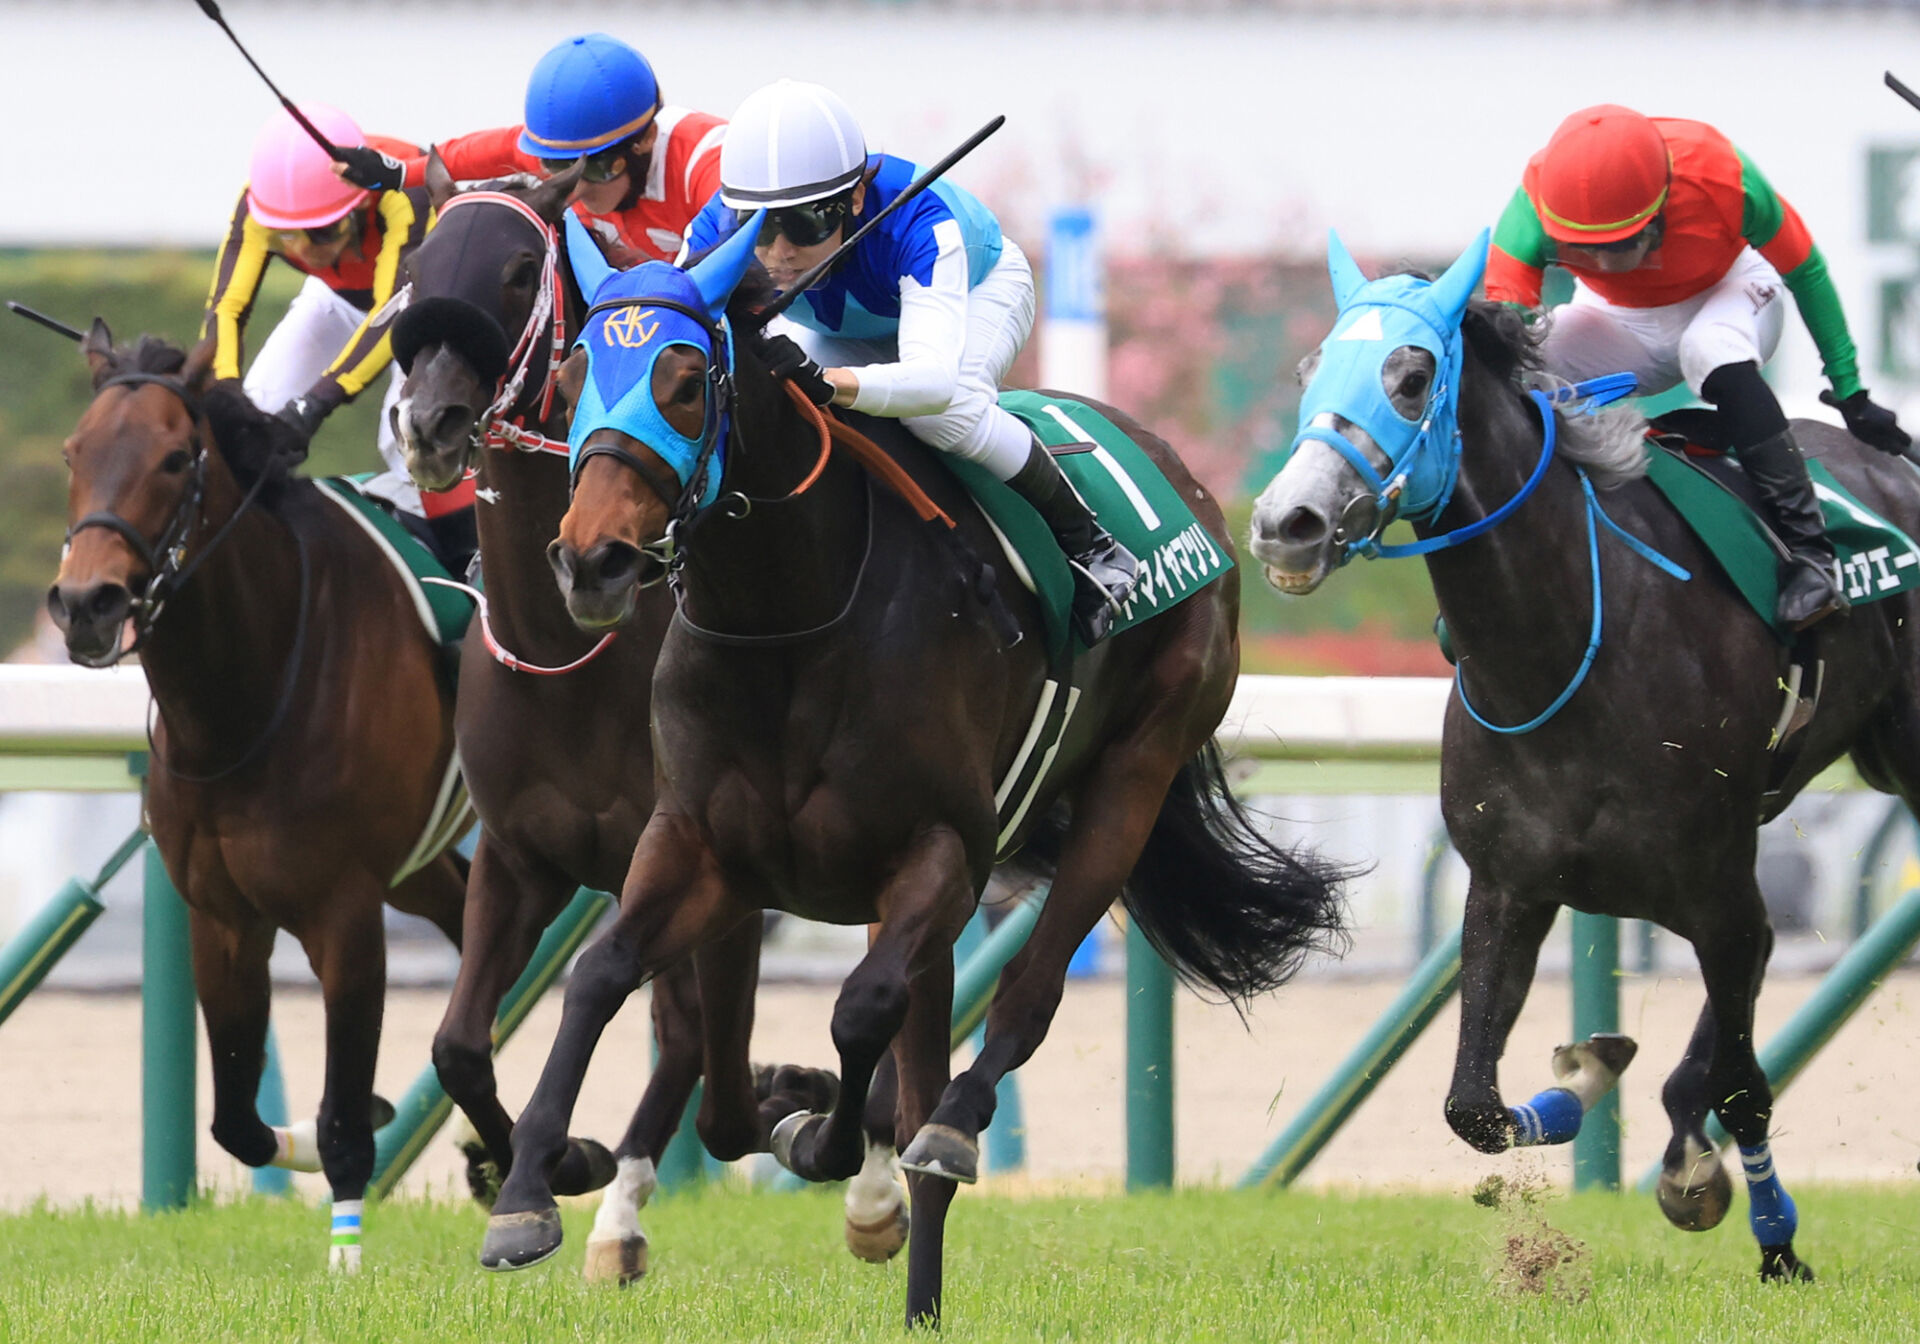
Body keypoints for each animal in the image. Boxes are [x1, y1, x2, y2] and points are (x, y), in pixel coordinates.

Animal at [47, 326, 470, 1270]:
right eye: (73, 452)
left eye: (174, 458)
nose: (88, 603)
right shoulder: (222, 915)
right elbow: (236, 1121)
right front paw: (331, 1132)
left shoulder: (346, 913)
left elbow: (344, 1115)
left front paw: (347, 1261)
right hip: (424, 867)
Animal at [386, 158, 843, 1281]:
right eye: (415, 270)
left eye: (516, 271)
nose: (430, 424)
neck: (569, 660)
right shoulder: (521, 859)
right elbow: (458, 1043)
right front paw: (553, 1166)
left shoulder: (700, 858)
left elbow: (707, 1060)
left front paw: (786, 1094)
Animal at [478, 215, 1350, 1327]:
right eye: (577, 373)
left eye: (683, 381)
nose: (593, 561)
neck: (787, 619)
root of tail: (1180, 480)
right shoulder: (701, 846)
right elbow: (607, 988)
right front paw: (526, 1198)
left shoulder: (937, 852)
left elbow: (860, 1012)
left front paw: (838, 1154)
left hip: (1134, 774)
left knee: (1019, 1000)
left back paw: (938, 1135)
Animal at [1250, 231, 1920, 1282]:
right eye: (1311, 369)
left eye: (1412, 375)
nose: (1289, 522)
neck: (1567, 652)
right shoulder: (1508, 884)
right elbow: (1473, 1106)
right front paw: (1589, 1074)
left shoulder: (1717, 889)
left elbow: (1744, 1083)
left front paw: (1766, 1232)